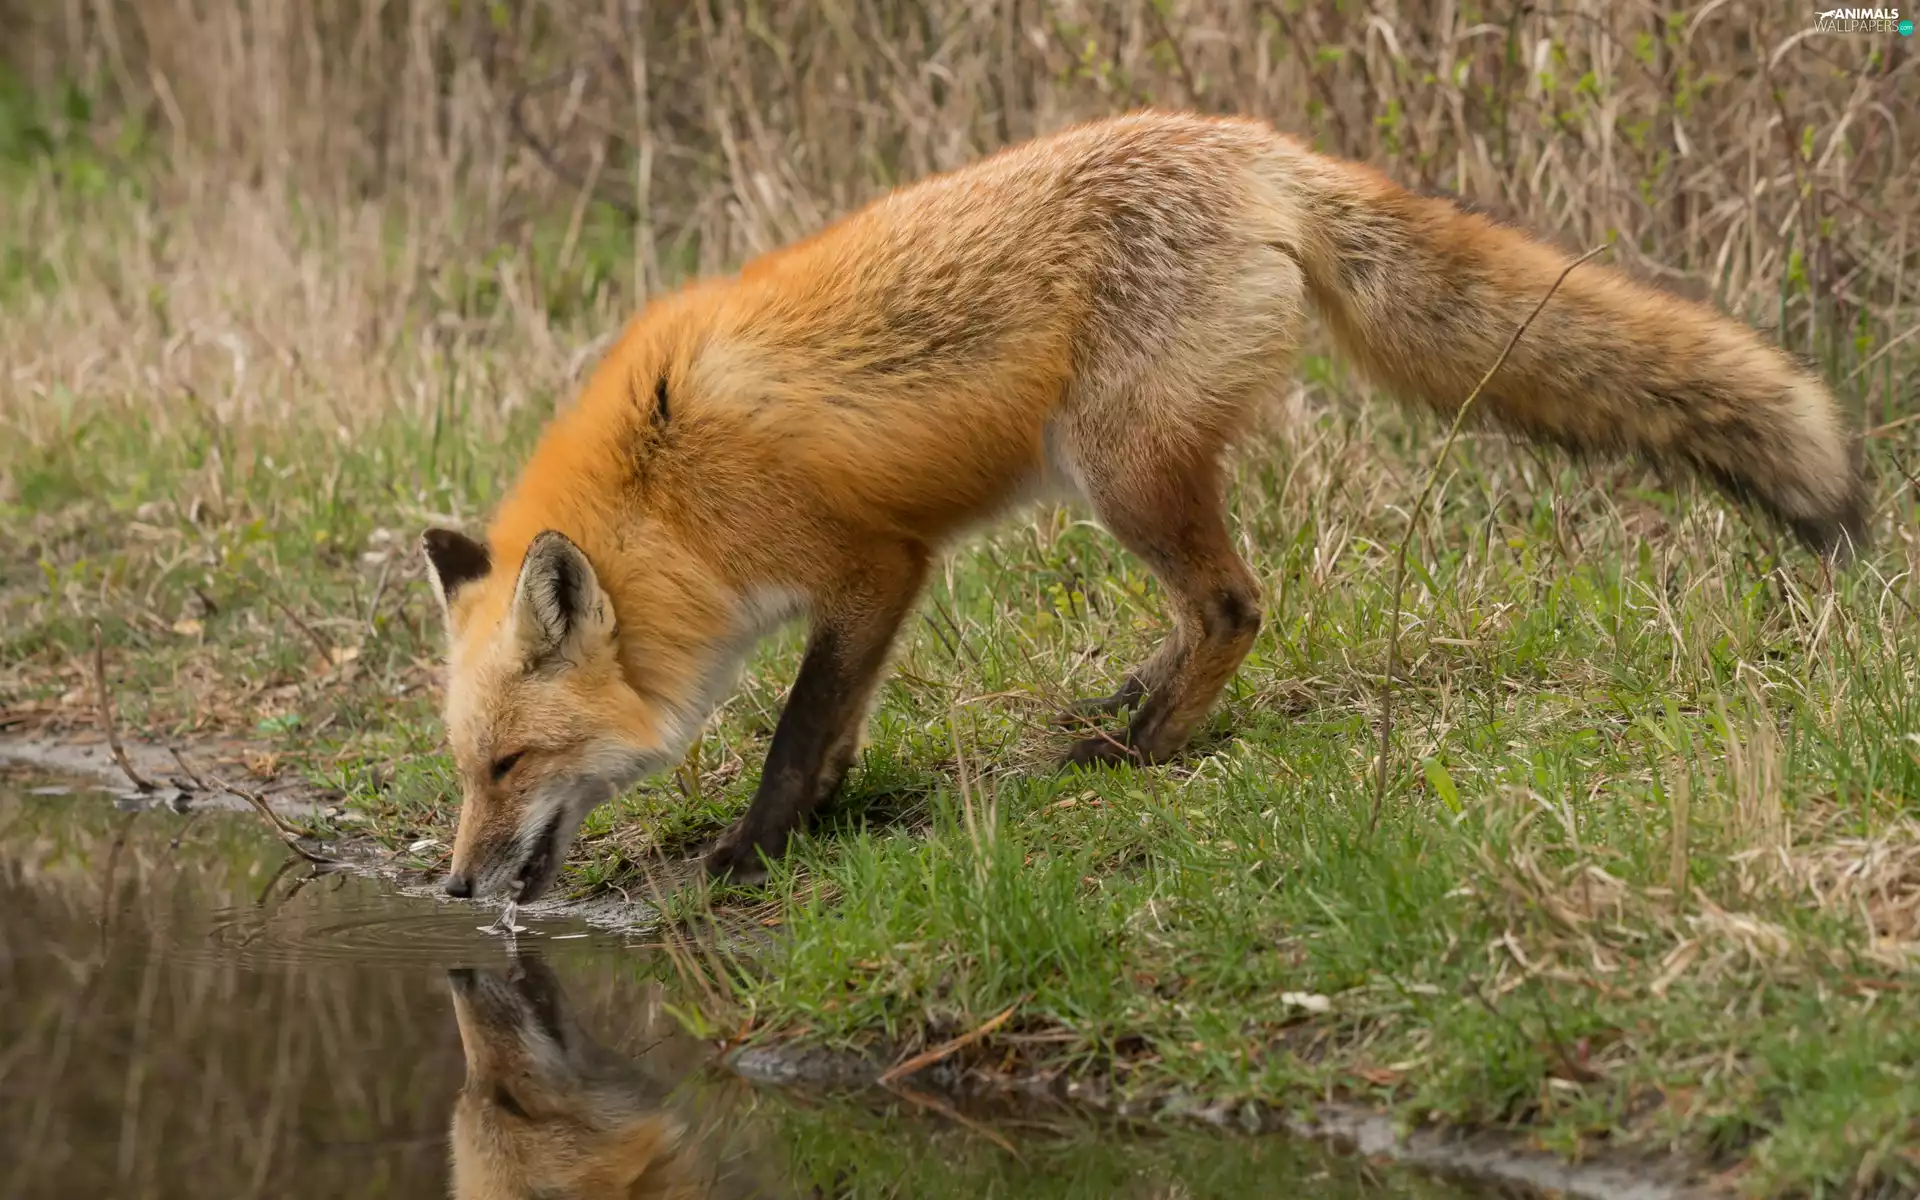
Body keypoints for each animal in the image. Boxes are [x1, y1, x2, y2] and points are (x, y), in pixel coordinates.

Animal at [421, 109, 1865, 902]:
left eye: (510, 767)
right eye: (465, 769)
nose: (453, 880)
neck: (664, 489)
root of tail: (1249, 143)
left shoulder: (876, 566)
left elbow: (797, 734)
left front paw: (751, 854)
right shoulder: (861, 581)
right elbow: (823, 732)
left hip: (1119, 466)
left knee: (1234, 603)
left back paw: (1144, 750)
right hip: (1109, 471)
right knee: (1199, 609)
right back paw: (1126, 704)